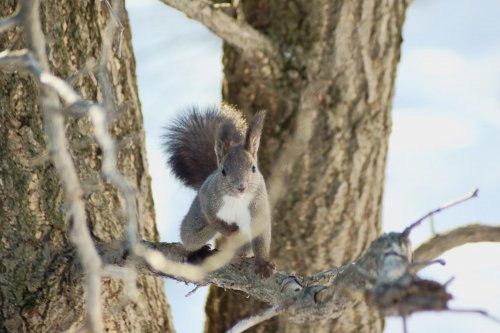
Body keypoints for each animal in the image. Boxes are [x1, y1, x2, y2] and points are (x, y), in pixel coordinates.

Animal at [163, 105, 274, 276]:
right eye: (223, 171)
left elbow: (261, 237)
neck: (237, 199)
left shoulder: (259, 204)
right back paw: (199, 251)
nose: (241, 186)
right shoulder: (208, 198)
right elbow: (213, 219)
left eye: (254, 168)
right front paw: (230, 230)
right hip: (195, 220)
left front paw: (263, 265)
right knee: (191, 238)